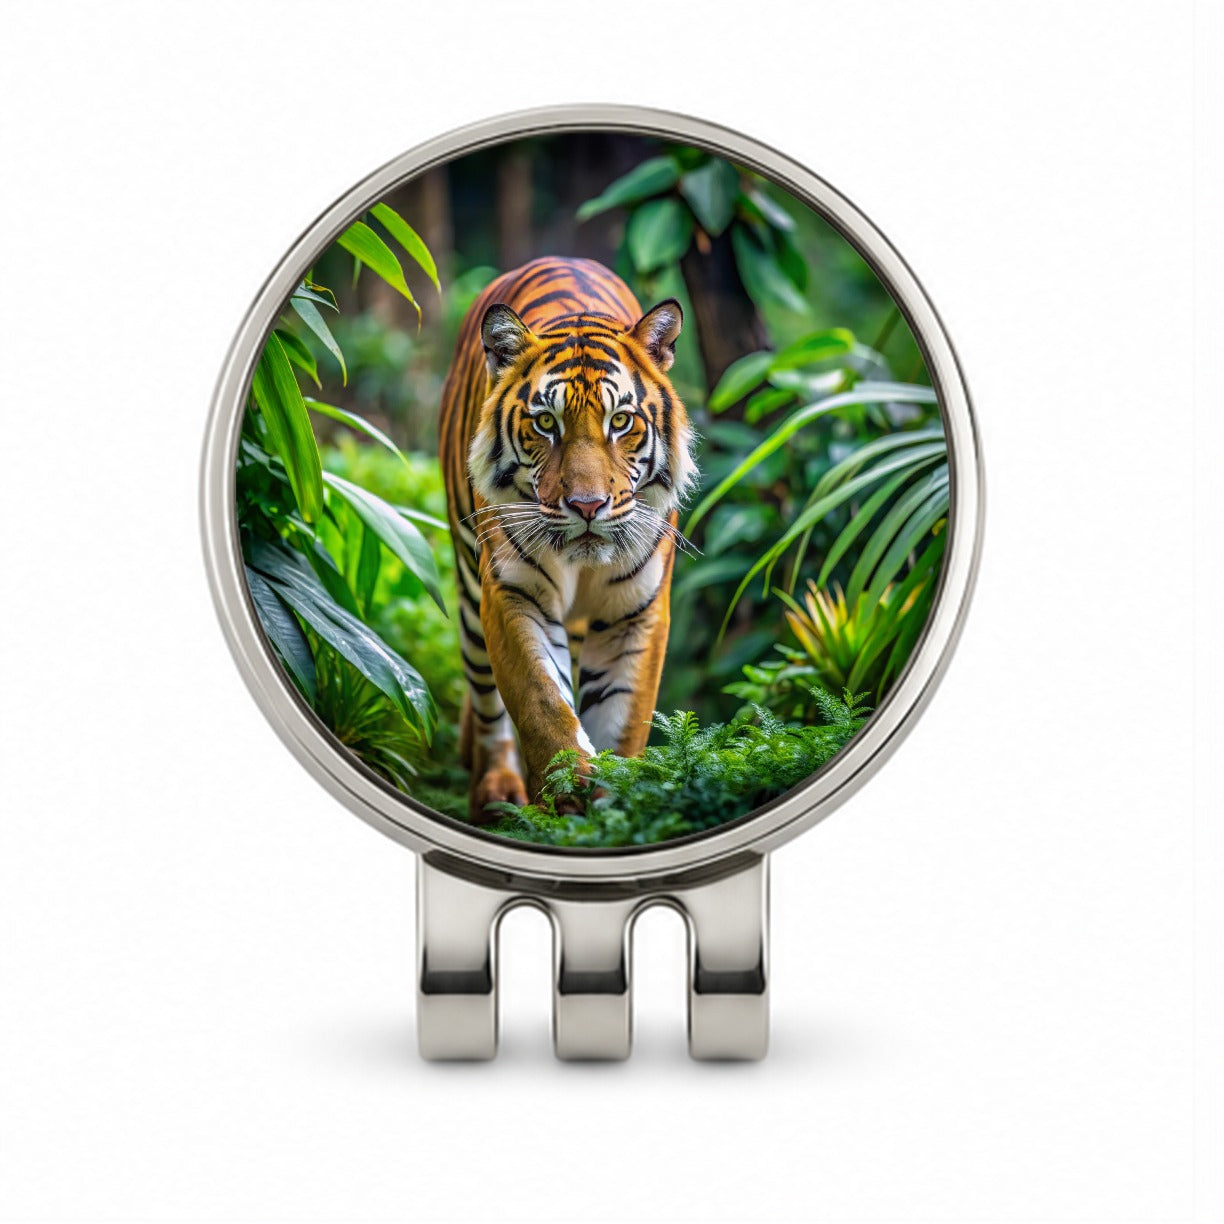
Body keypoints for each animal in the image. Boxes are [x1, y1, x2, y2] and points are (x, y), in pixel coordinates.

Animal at [439, 256, 696, 823]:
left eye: (620, 421)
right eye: (544, 423)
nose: (587, 506)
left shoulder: (635, 612)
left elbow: (622, 719)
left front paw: (612, 809)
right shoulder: (513, 593)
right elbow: (542, 702)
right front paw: (567, 797)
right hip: (469, 593)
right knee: (487, 702)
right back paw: (496, 789)